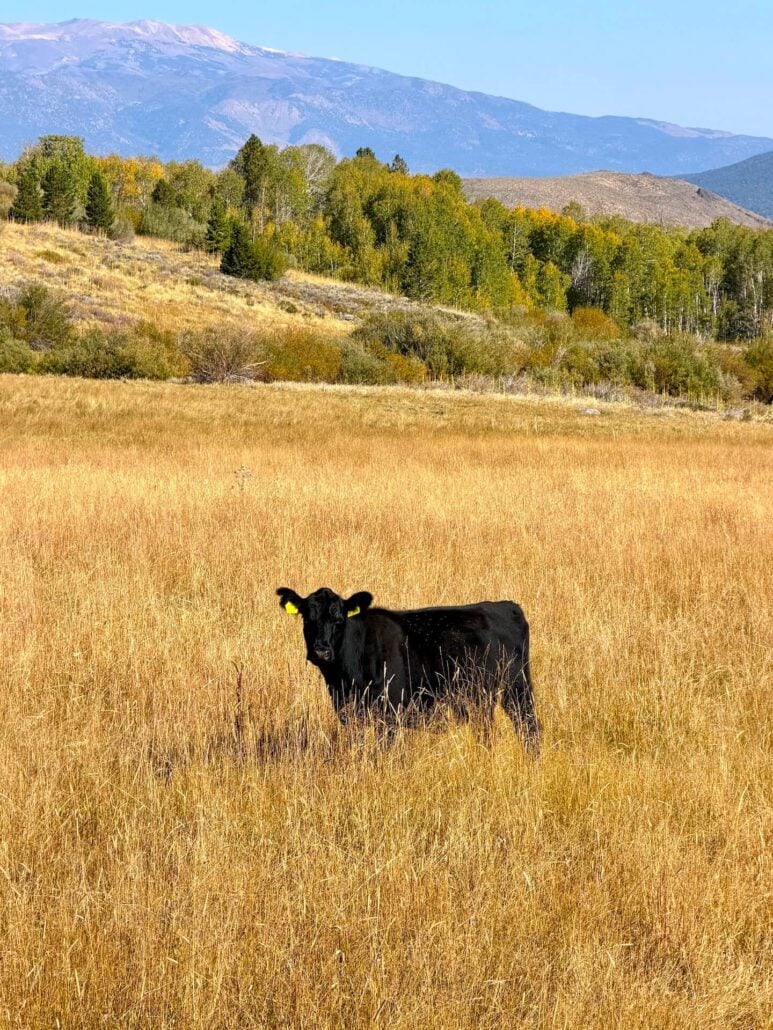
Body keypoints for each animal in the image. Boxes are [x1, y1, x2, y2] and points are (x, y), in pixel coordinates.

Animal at [277, 586, 540, 749]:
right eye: (307, 619)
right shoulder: (348, 711)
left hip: (516, 688)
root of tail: (506, 606)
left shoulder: (390, 712)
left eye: (339, 620)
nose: (321, 650)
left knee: (529, 727)